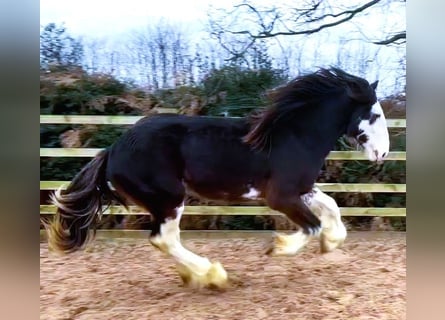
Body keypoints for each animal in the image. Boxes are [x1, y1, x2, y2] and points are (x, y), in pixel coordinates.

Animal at [46, 67, 388, 290]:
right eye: (373, 115)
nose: (383, 153)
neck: (294, 135)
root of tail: (112, 150)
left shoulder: (301, 189)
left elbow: (331, 206)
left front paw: (332, 242)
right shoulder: (281, 196)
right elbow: (312, 225)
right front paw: (277, 248)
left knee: (165, 240)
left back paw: (198, 276)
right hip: (169, 199)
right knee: (164, 239)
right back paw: (214, 276)